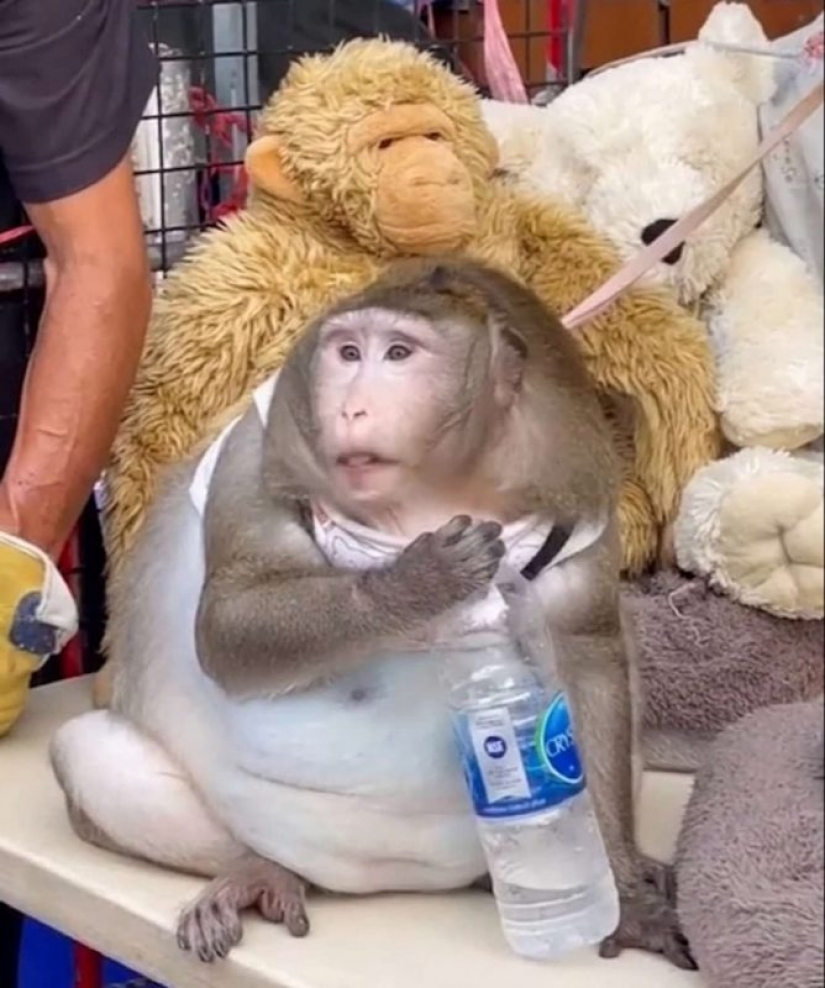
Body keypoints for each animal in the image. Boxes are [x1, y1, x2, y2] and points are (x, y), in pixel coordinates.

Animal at [49, 258, 695, 971]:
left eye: (399, 354)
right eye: (349, 353)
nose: (350, 407)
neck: (439, 488)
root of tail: (386, 883)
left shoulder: (575, 473)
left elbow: (588, 658)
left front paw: (627, 900)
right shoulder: (262, 442)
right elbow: (228, 623)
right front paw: (417, 584)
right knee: (91, 758)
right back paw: (261, 870)